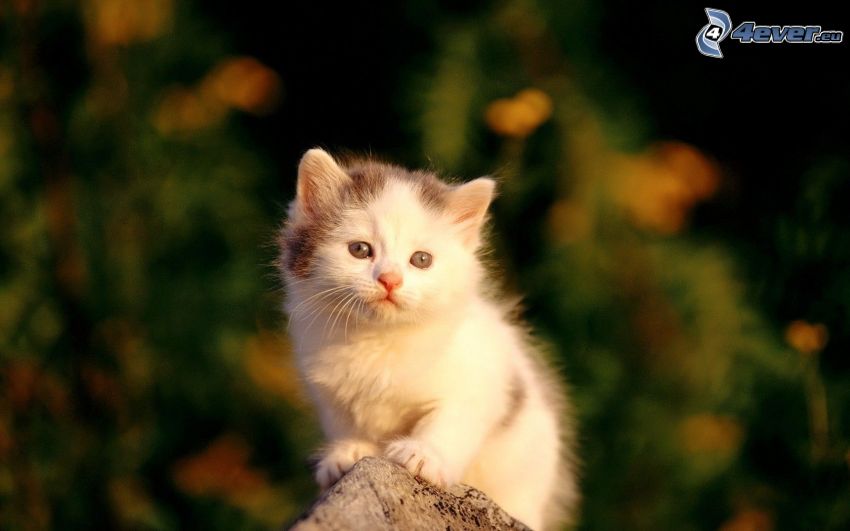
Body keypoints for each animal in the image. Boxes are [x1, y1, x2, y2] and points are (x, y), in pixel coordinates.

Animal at [278, 148, 576, 528]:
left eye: (421, 260)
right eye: (360, 250)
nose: (389, 279)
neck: (380, 339)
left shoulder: (480, 382)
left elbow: (449, 421)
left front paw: (423, 454)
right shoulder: (331, 392)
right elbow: (345, 423)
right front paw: (347, 452)